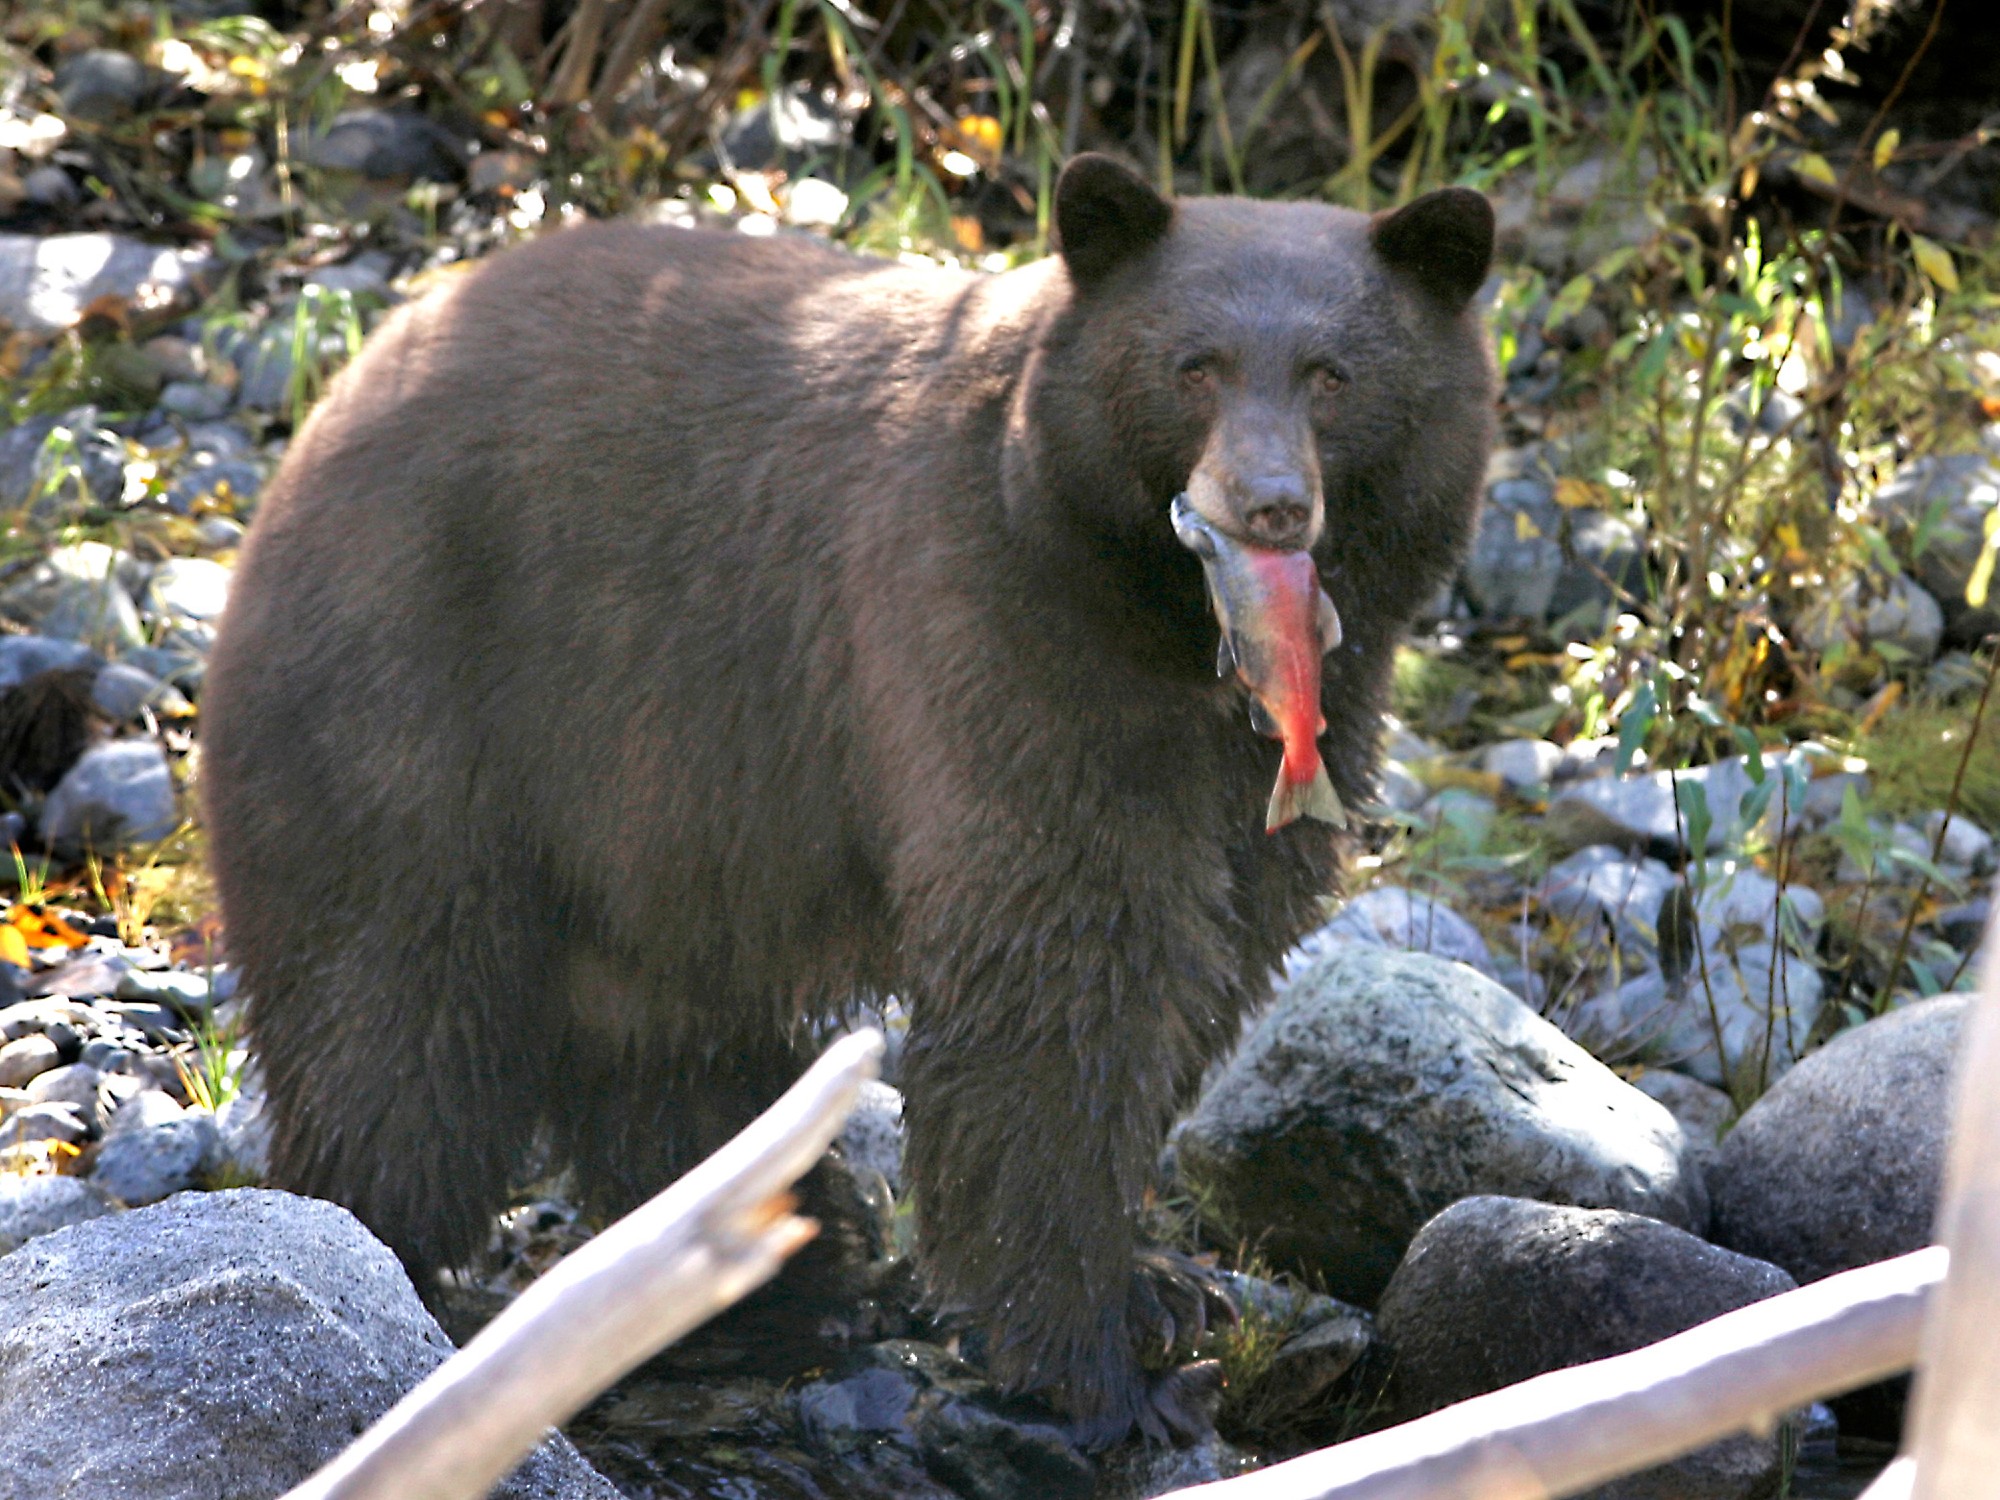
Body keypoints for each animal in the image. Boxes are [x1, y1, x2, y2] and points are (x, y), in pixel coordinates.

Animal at [203, 153, 1496, 1448]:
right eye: (1195, 365)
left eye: (1332, 375)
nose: (1264, 502)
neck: (1163, 627)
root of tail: (331, 406)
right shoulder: (994, 638)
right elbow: (1058, 976)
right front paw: (1105, 1364)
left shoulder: (1288, 732)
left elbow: (1212, 955)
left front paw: (1156, 1290)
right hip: (416, 696)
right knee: (392, 1011)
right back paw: (382, 1256)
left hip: (646, 810)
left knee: (662, 1045)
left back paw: (772, 1271)